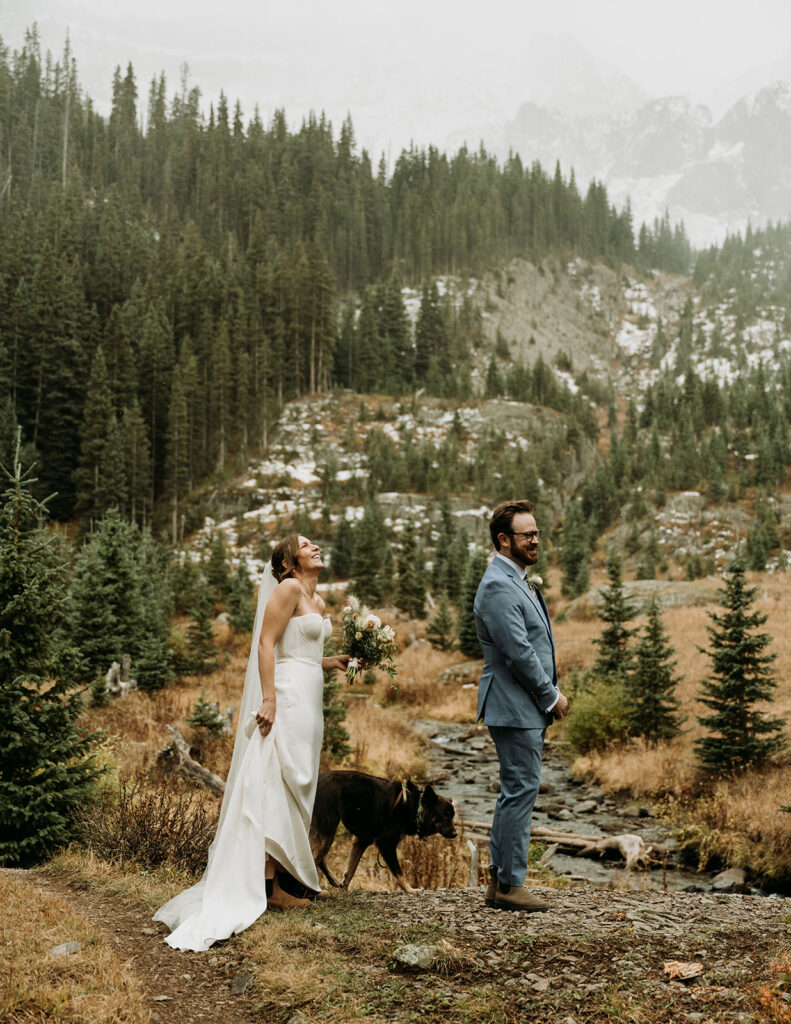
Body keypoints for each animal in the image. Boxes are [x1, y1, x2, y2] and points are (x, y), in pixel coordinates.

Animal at [309, 770, 456, 888]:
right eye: (444, 816)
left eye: (452, 816)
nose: (456, 833)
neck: (411, 805)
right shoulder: (386, 844)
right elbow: (399, 874)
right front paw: (410, 890)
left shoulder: (362, 841)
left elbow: (350, 871)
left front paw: (344, 890)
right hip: (327, 829)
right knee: (316, 857)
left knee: (321, 859)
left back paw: (332, 881)